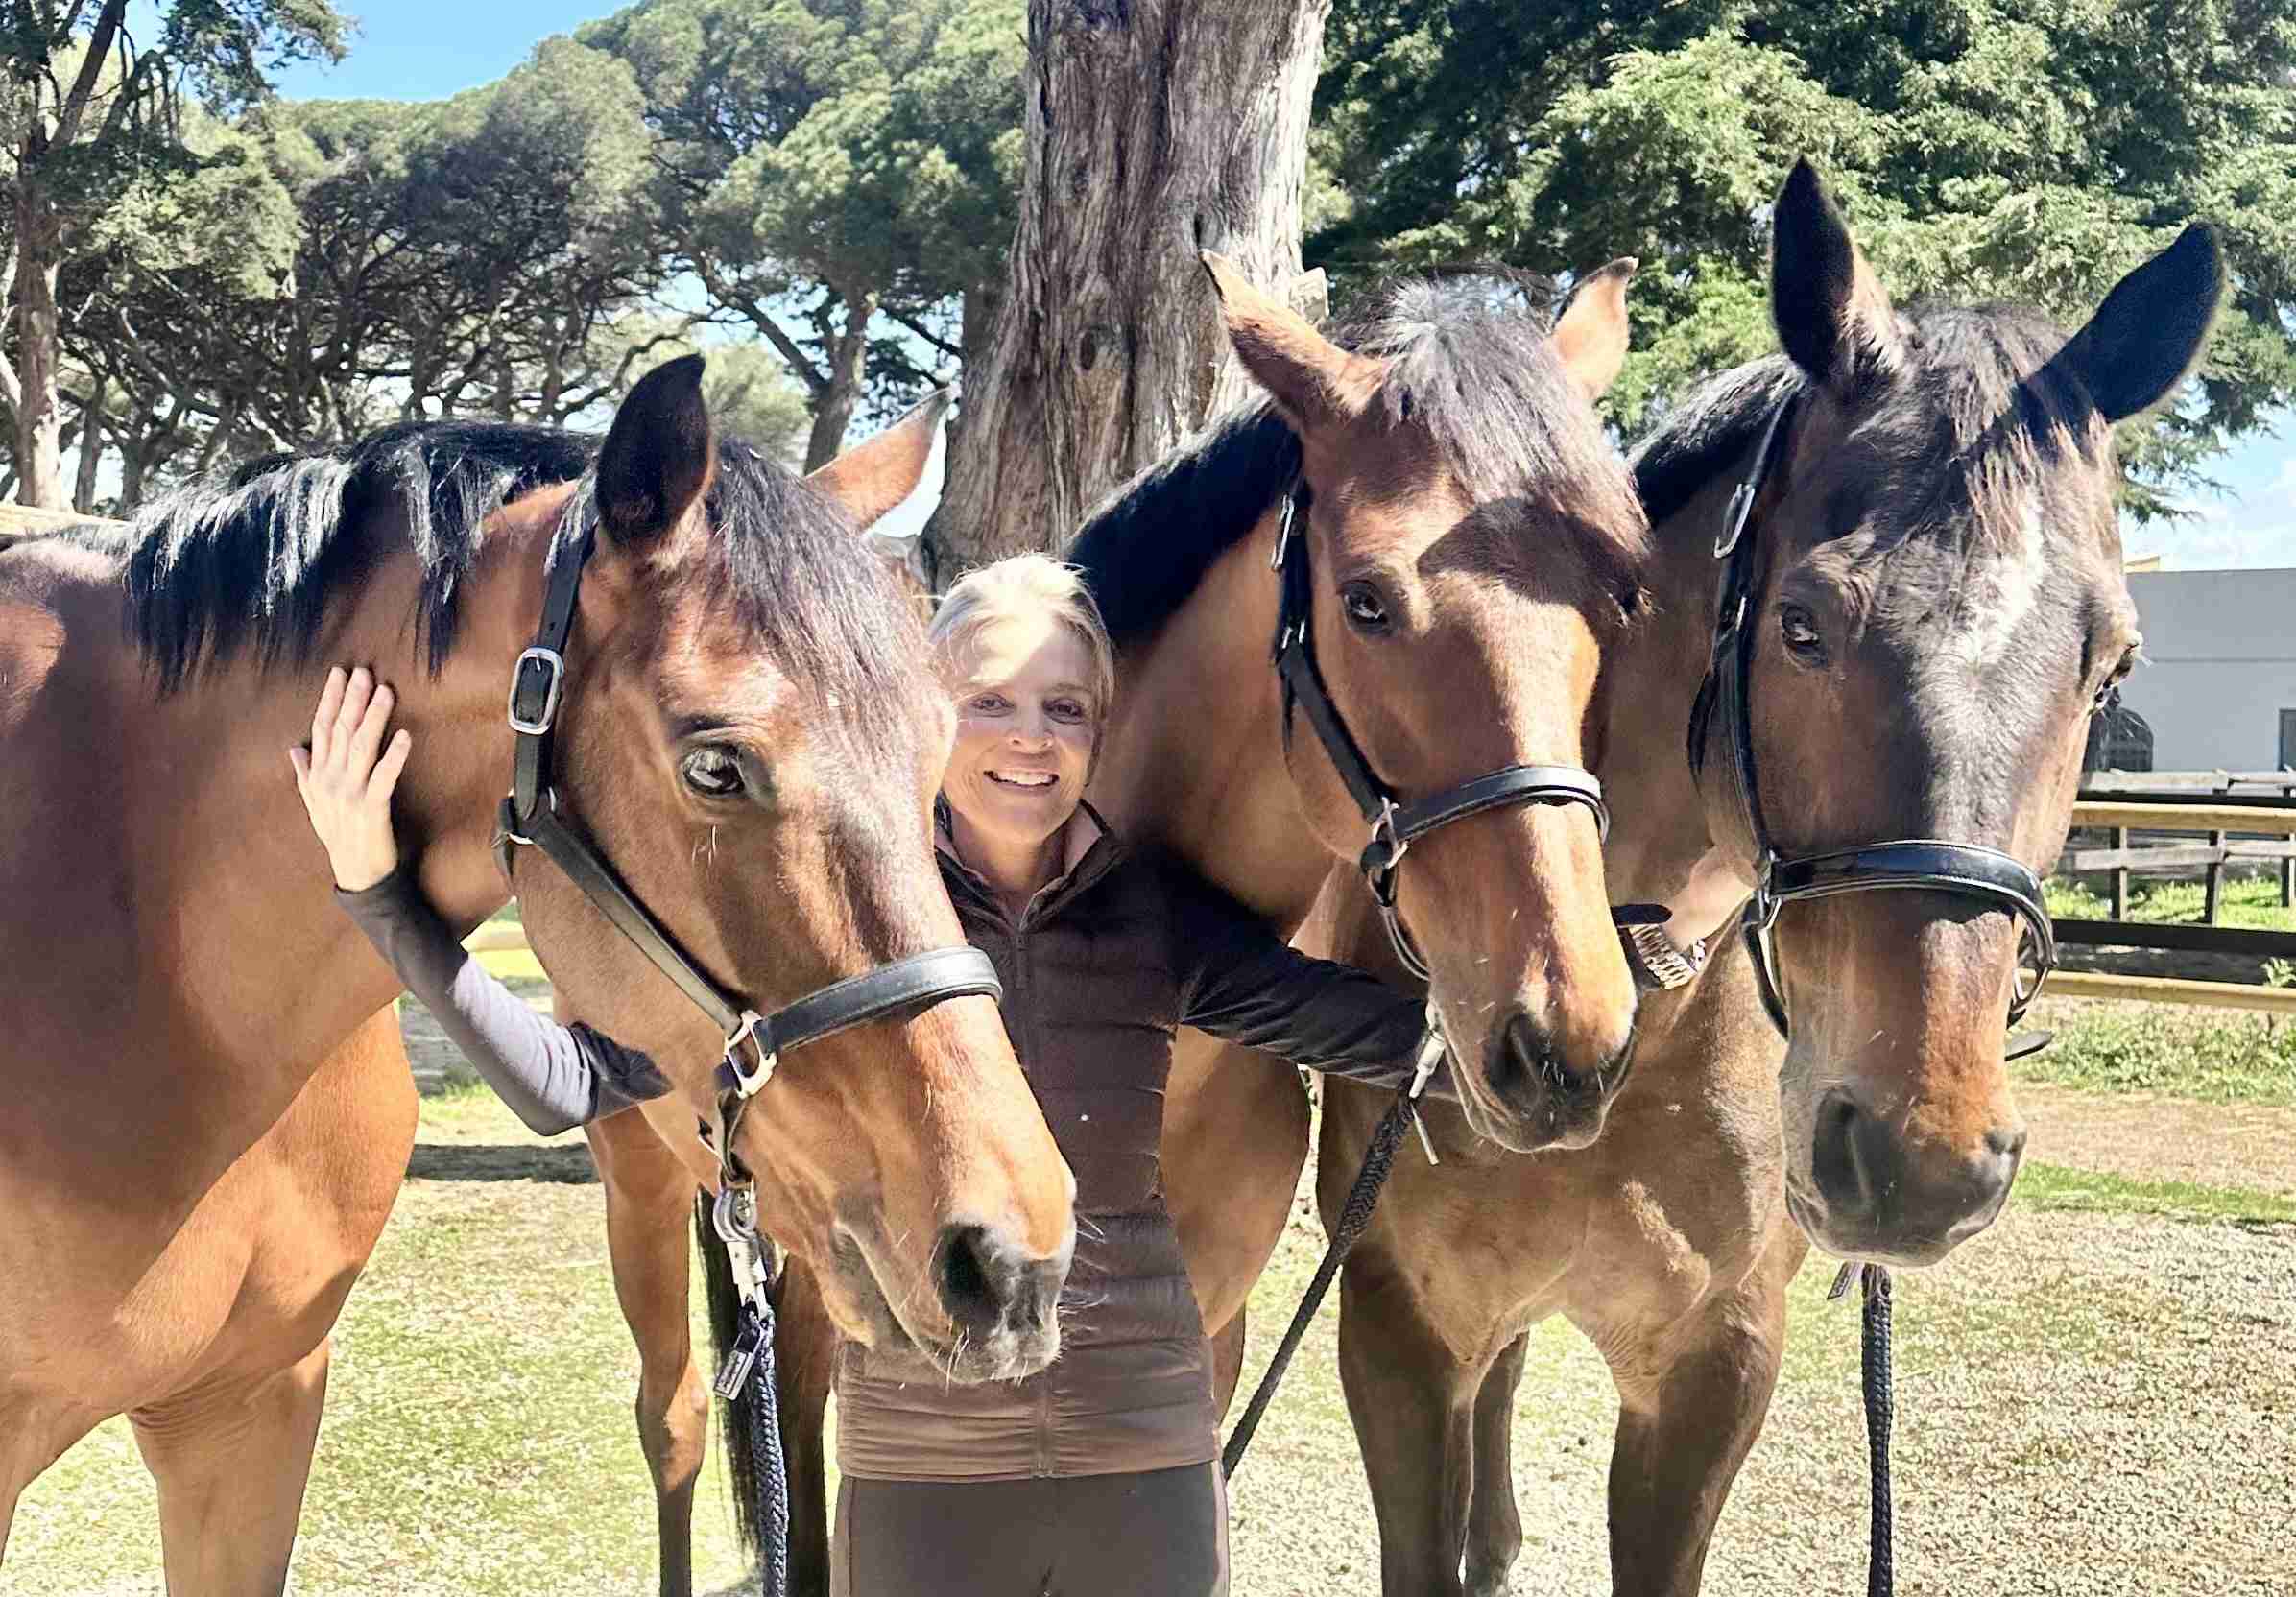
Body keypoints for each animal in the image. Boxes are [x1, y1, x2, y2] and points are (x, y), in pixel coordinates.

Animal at [1295, 160, 2225, 1595]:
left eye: (2109, 664)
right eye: (1801, 626)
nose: (1921, 1158)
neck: (1636, 1011)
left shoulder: (1716, 1368)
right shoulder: (1395, 1329)